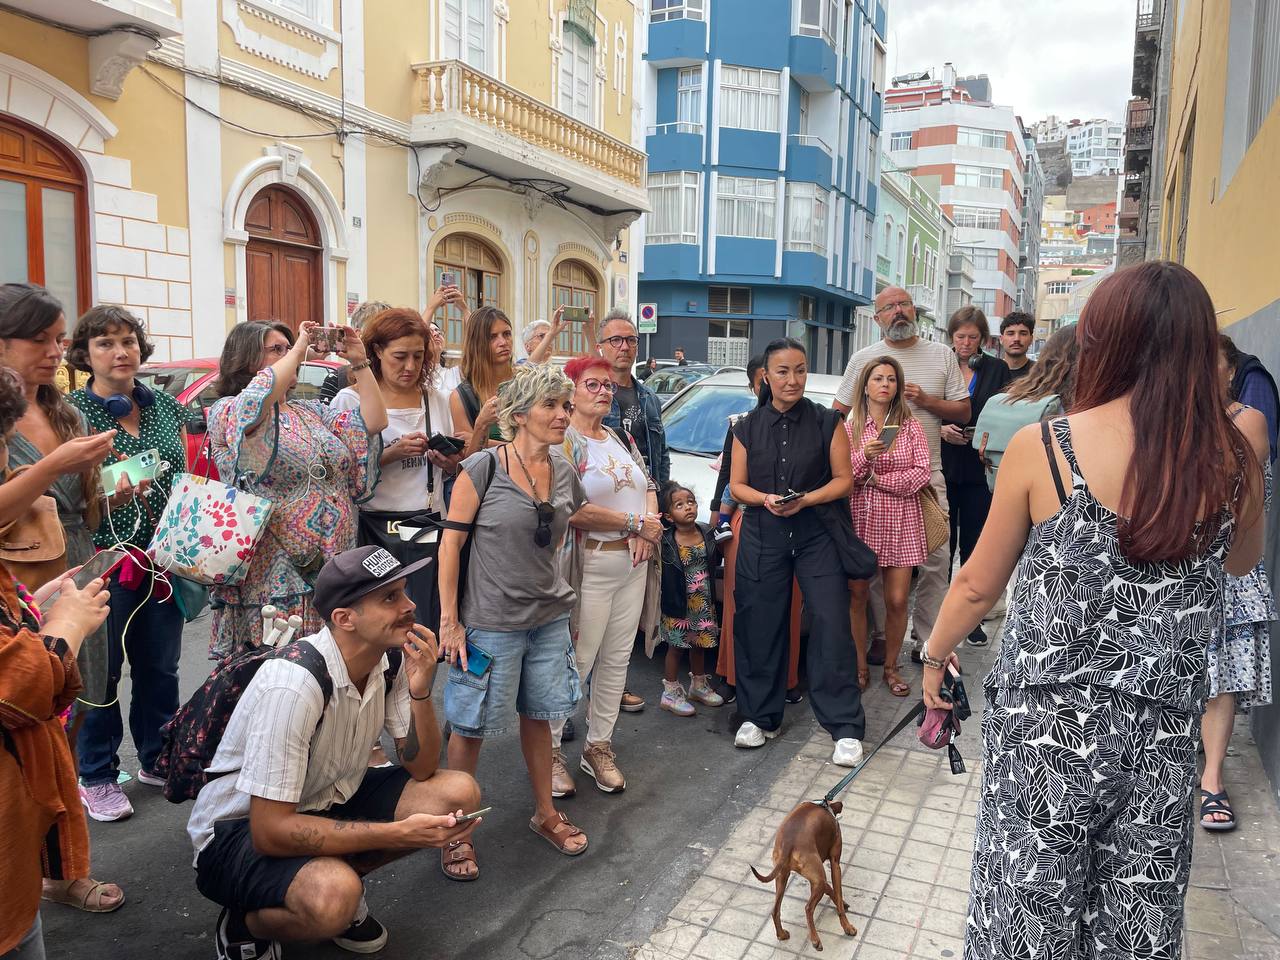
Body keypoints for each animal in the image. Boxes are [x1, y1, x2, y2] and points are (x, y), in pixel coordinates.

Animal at [747, 798, 860, 952]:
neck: (827, 806)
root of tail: (789, 842)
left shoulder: (816, 879)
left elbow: (831, 890)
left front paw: (841, 902)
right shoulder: (835, 864)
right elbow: (837, 895)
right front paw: (847, 926)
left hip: (783, 877)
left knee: (775, 910)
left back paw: (782, 934)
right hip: (817, 879)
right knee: (808, 908)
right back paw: (815, 940)